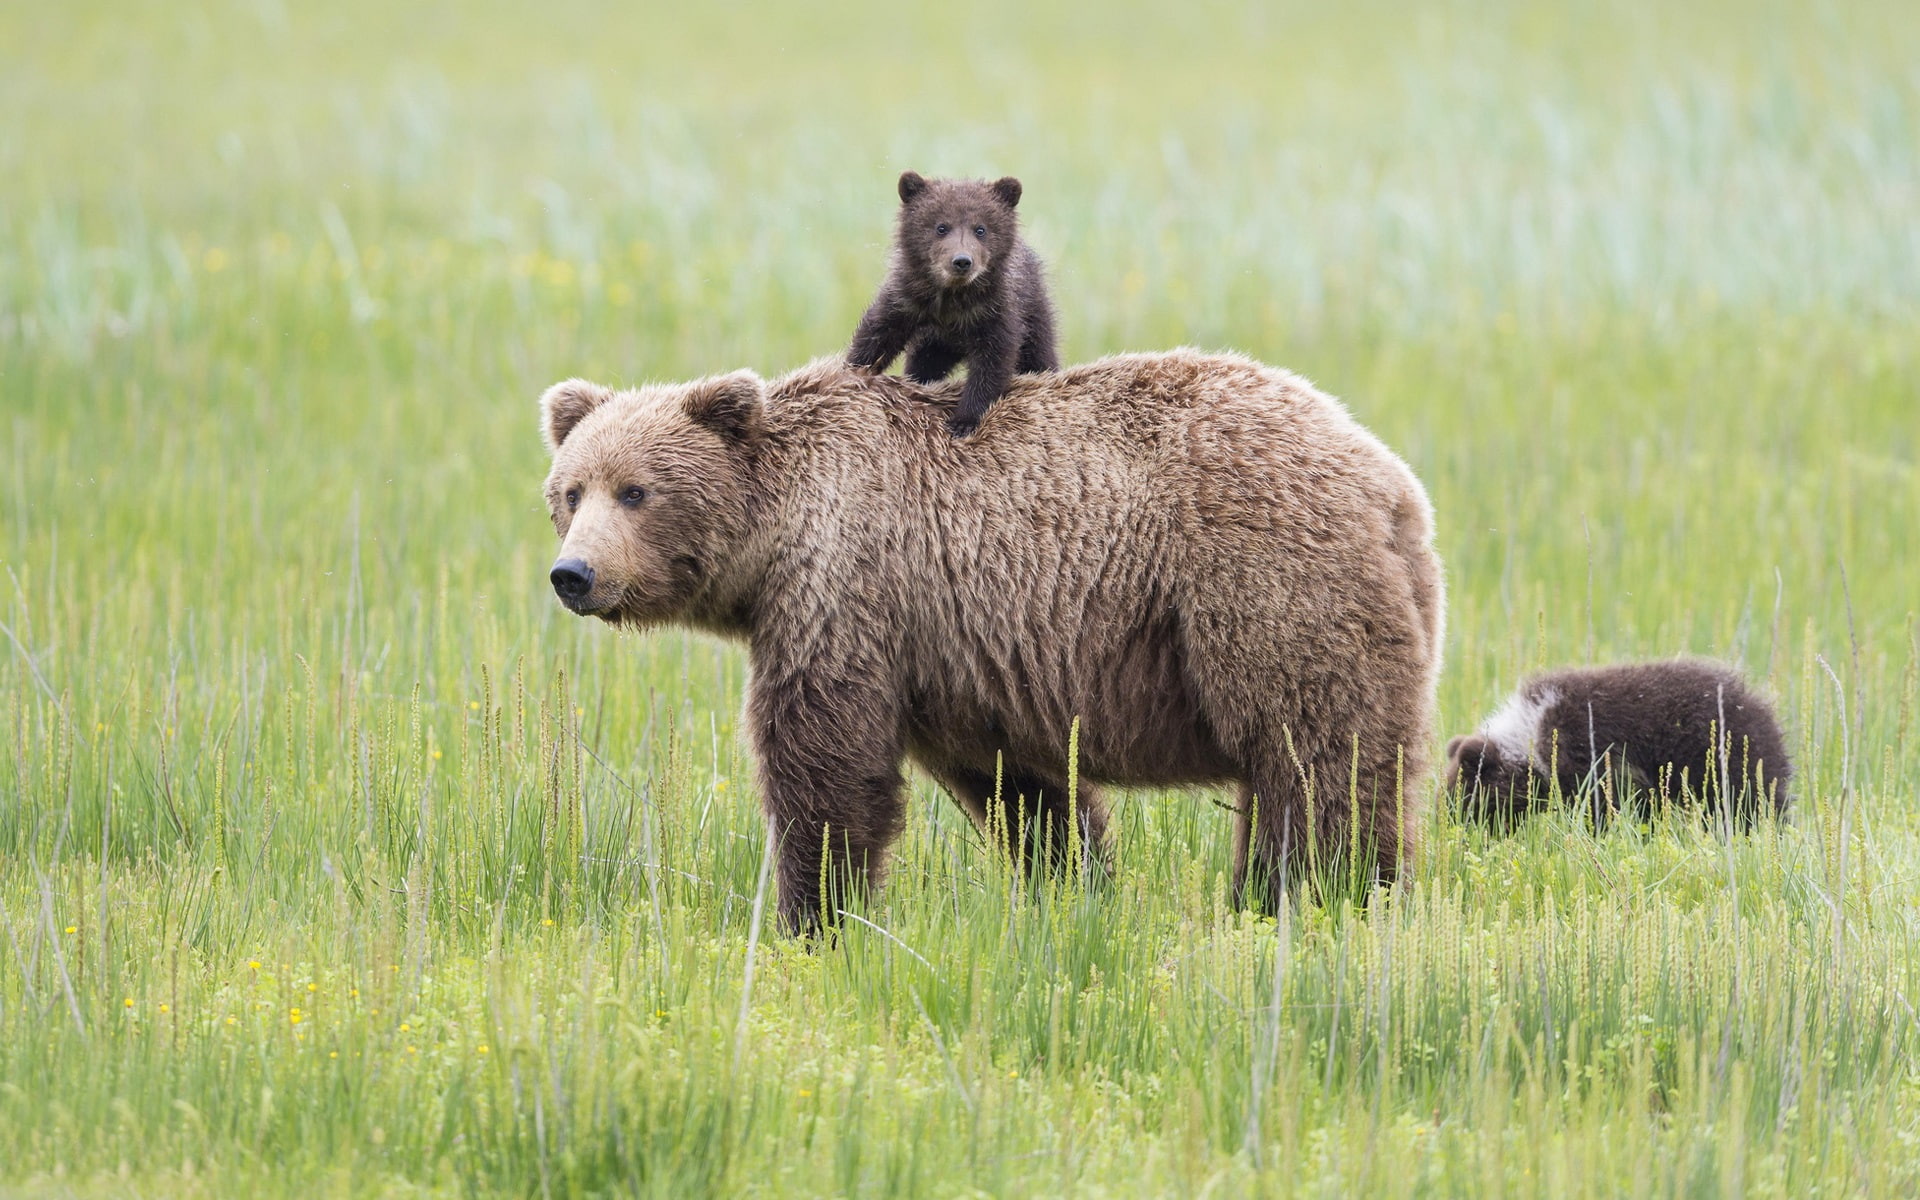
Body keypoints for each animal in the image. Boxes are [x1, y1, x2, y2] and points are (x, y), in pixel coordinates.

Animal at [540, 350, 1445, 935]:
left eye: (637, 490)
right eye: (570, 490)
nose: (574, 574)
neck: (773, 537)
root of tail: (1391, 484)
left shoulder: (844, 588)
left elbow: (824, 763)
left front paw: (810, 917)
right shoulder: (962, 653)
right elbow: (1023, 785)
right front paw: (1075, 887)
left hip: (1264, 584)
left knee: (1314, 757)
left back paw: (1325, 898)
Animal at [846, 171, 1059, 438]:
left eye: (981, 229)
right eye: (941, 227)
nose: (961, 261)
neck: (951, 299)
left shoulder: (994, 310)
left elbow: (993, 362)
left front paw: (963, 421)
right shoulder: (906, 299)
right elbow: (877, 335)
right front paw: (849, 371)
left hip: (1034, 312)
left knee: (1039, 355)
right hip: (935, 343)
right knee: (923, 364)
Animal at [1445, 659, 1792, 829]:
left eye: (1462, 796)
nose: (1450, 826)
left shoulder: (1589, 755)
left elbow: (1602, 805)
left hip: (1724, 756)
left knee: (1753, 803)